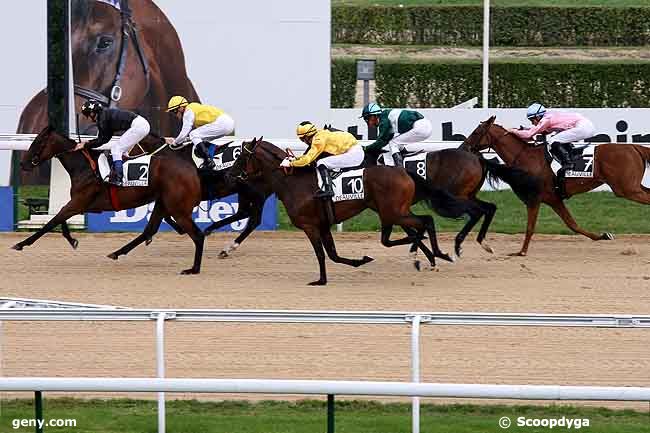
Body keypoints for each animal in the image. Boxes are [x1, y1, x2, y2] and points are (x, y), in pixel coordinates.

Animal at [13, 125, 205, 274]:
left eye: (38, 142)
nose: (23, 164)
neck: (85, 167)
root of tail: (192, 169)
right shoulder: (81, 205)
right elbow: (60, 219)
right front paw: (73, 240)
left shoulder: (78, 203)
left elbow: (52, 222)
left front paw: (22, 243)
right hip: (164, 203)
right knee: (149, 230)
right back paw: (117, 252)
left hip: (178, 209)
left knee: (198, 235)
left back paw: (193, 269)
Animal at [233, 136, 476, 284]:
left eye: (241, 156)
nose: (232, 174)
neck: (292, 182)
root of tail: (404, 171)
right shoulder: (323, 225)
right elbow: (332, 254)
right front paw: (361, 260)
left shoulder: (310, 226)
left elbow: (321, 254)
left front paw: (321, 280)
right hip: (391, 211)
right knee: (411, 229)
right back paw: (427, 253)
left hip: (394, 212)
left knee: (425, 221)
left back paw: (435, 253)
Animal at [458, 115, 640, 256]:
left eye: (476, 132)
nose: (463, 147)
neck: (526, 158)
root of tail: (633, 148)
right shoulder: (554, 199)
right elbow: (573, 225)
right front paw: (602, 236)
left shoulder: (534, 199)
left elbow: (530, 227)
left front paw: (521, 252)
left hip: (625, 186)